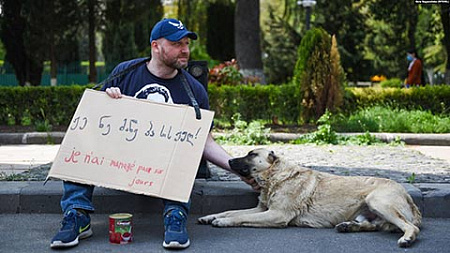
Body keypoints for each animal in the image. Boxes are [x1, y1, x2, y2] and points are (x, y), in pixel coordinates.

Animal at [198, 147, 422, 248]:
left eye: (252, 155)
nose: (229, 161)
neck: (276, 175)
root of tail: (409, 198)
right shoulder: (262, 210)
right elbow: (230, 211)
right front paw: (212, 216)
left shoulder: (276, 214)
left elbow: (239, 217)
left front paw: (223, 222)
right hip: (368, 211)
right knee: (371, 225)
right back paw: (348, 226)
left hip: (378, 202)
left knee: (411, 227)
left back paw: (407, 238)